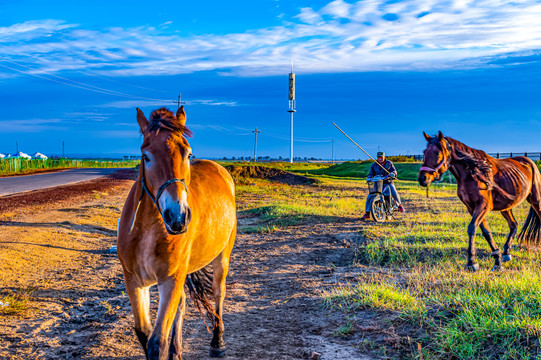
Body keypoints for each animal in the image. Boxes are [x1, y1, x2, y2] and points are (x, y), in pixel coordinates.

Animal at [117, 107, 235, 360]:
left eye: (188, 154)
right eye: (146, 156)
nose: (178, 216)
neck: (147, 232)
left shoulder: (170, 279)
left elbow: (157, 342)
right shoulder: (134, 281)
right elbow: (144, 334)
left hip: (222, 256)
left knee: (218, 292)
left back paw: (217, 341)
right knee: (182, 304)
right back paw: (177, 350)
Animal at [420, 131, 540, 270]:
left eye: (438, 153)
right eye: (424, 153)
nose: (422, 178)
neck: (473, 174)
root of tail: (530, 162)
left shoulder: (483, 206)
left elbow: (472, 228)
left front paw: (472, 262)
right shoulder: (472, 207)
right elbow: (485, 231)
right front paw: (497, 259)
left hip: (536, 200)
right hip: (506, 207)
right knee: (513, 225)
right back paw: (506, 253)